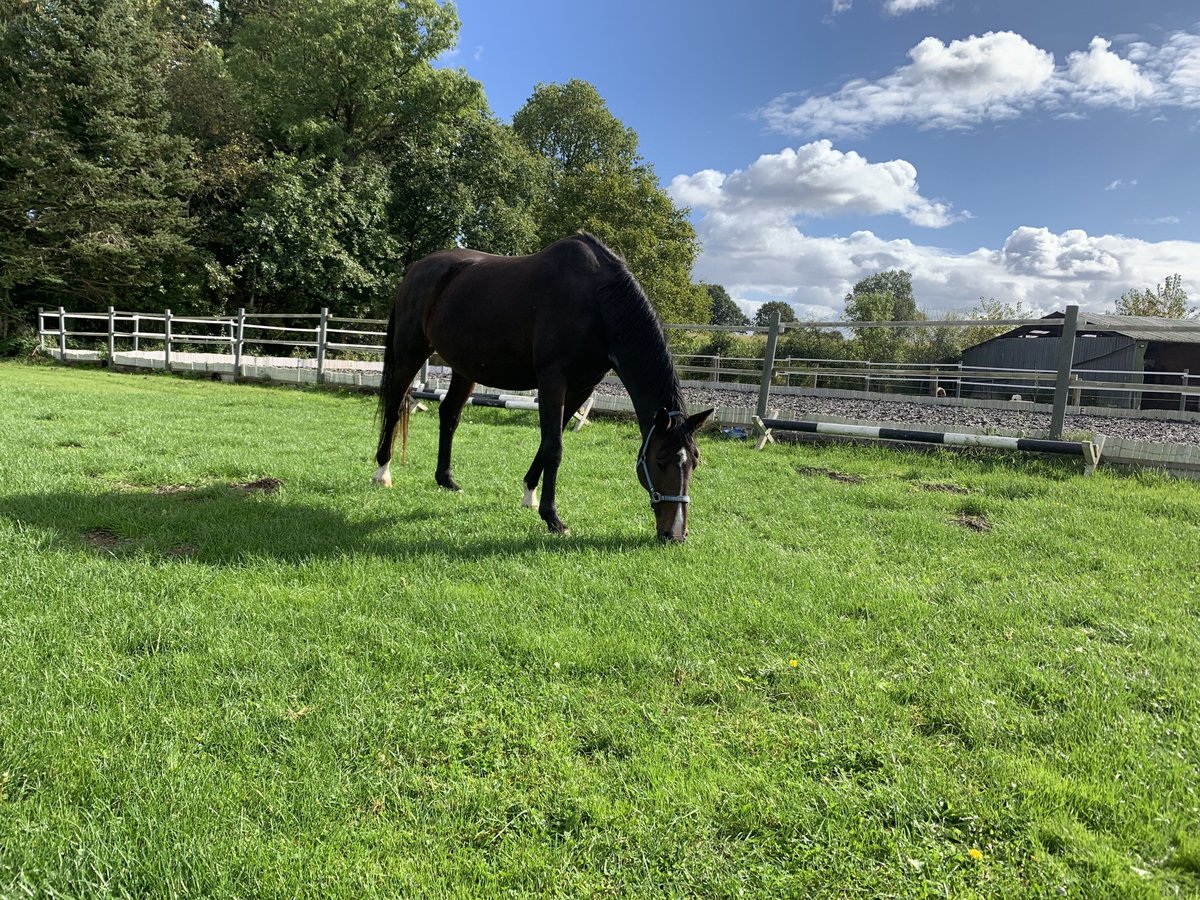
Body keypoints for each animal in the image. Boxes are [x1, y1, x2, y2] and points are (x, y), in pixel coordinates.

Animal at [372, 232, 710, 542]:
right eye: (661, 461)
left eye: (694, 463)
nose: (675, 533)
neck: (595, 302)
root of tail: (416, 270)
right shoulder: (552, 380)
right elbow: (554, 447)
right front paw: (553, 518)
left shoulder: (582, 387)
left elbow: (551, 439)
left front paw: (529, 495)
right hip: (410, 352)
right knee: (395, 407)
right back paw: (383, 473)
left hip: (464, 368)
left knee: (449, 414)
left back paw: (446, 480)